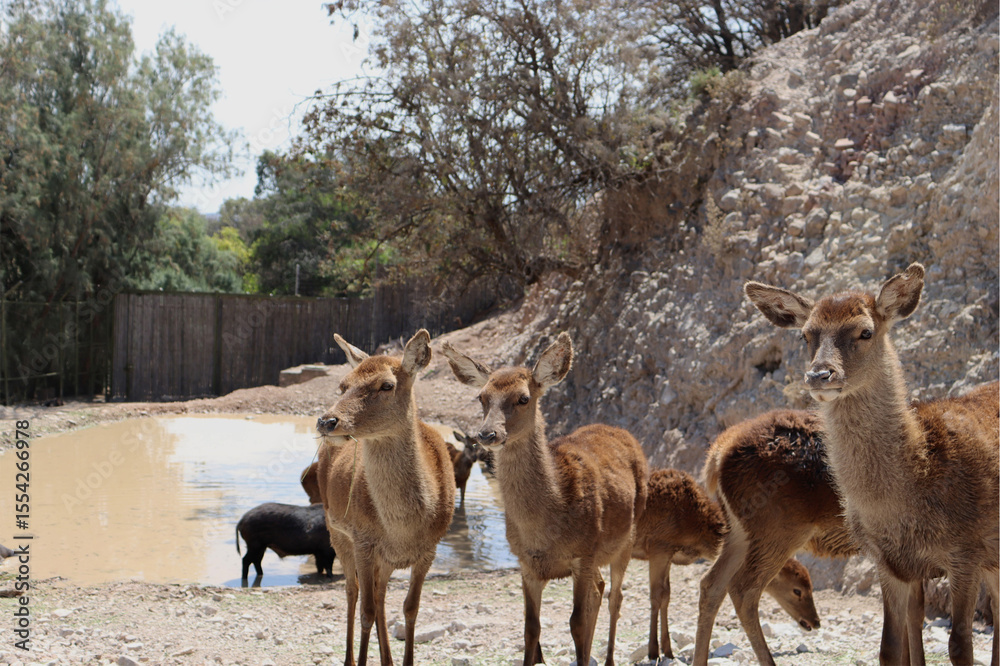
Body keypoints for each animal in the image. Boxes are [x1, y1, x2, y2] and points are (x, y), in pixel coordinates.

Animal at [315, 329, 456, 666]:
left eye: (387, 385)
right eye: (343, 384)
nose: (327, 421)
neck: (403, 528)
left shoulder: (430, 550)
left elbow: (410, 608)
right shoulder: (363, 540)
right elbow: (365, 611)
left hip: (385, 559)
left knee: (379, 593)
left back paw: (387, 660)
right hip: (336, 530)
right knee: (353, 591)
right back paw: (350, 658)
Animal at [441, 332, 648, 666]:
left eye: (524, 398)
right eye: (481, 397)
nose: (487, 434)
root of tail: (619, 430)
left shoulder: (583, 553)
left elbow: (577, 623)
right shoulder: (526, 563)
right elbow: (530, 628)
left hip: (628, 536)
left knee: (615, 596)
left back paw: (608, 658)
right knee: (600, 588)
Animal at [633, 466, 824, 662]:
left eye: (810, 585)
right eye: (797, 590)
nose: (816, 622)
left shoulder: (668, 555)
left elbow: (667, 596)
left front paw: (668, 650)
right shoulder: (659, 546)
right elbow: (657, 596)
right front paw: (653, 652)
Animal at [692, 409, 857, 665]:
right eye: (797, 591)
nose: (816, 622)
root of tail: (717, 455)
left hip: (740, 534)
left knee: (712, 584)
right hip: (779, 532)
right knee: (743, 589)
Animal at [745, 262, 999, 666]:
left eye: (865, 331)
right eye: (805, 335)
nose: (820, 374)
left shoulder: (967, 550)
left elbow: (960, 644)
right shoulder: (885, 561)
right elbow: (889, 647)